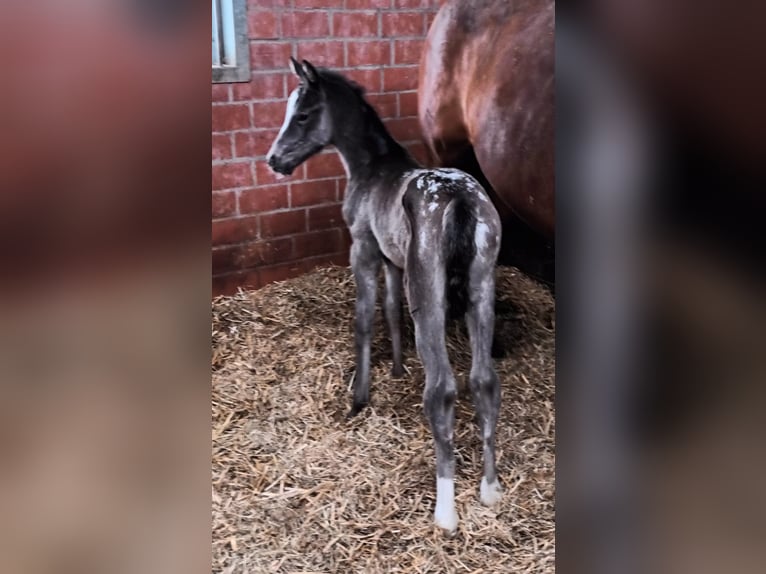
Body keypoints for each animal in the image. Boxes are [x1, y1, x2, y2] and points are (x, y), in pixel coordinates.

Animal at [267, 58, 504, 533]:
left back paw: (445, 511)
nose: (274, 160)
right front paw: (395, 369)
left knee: (442, 389)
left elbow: (364, 318)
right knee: (484, 380)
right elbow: (392, 309)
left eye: (302, 115)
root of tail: (460, 199)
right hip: (480, 287)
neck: (373, 166)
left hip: (430, 292)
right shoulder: (394, 261)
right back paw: (489, 490)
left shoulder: (362, 247)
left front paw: (359, 397)